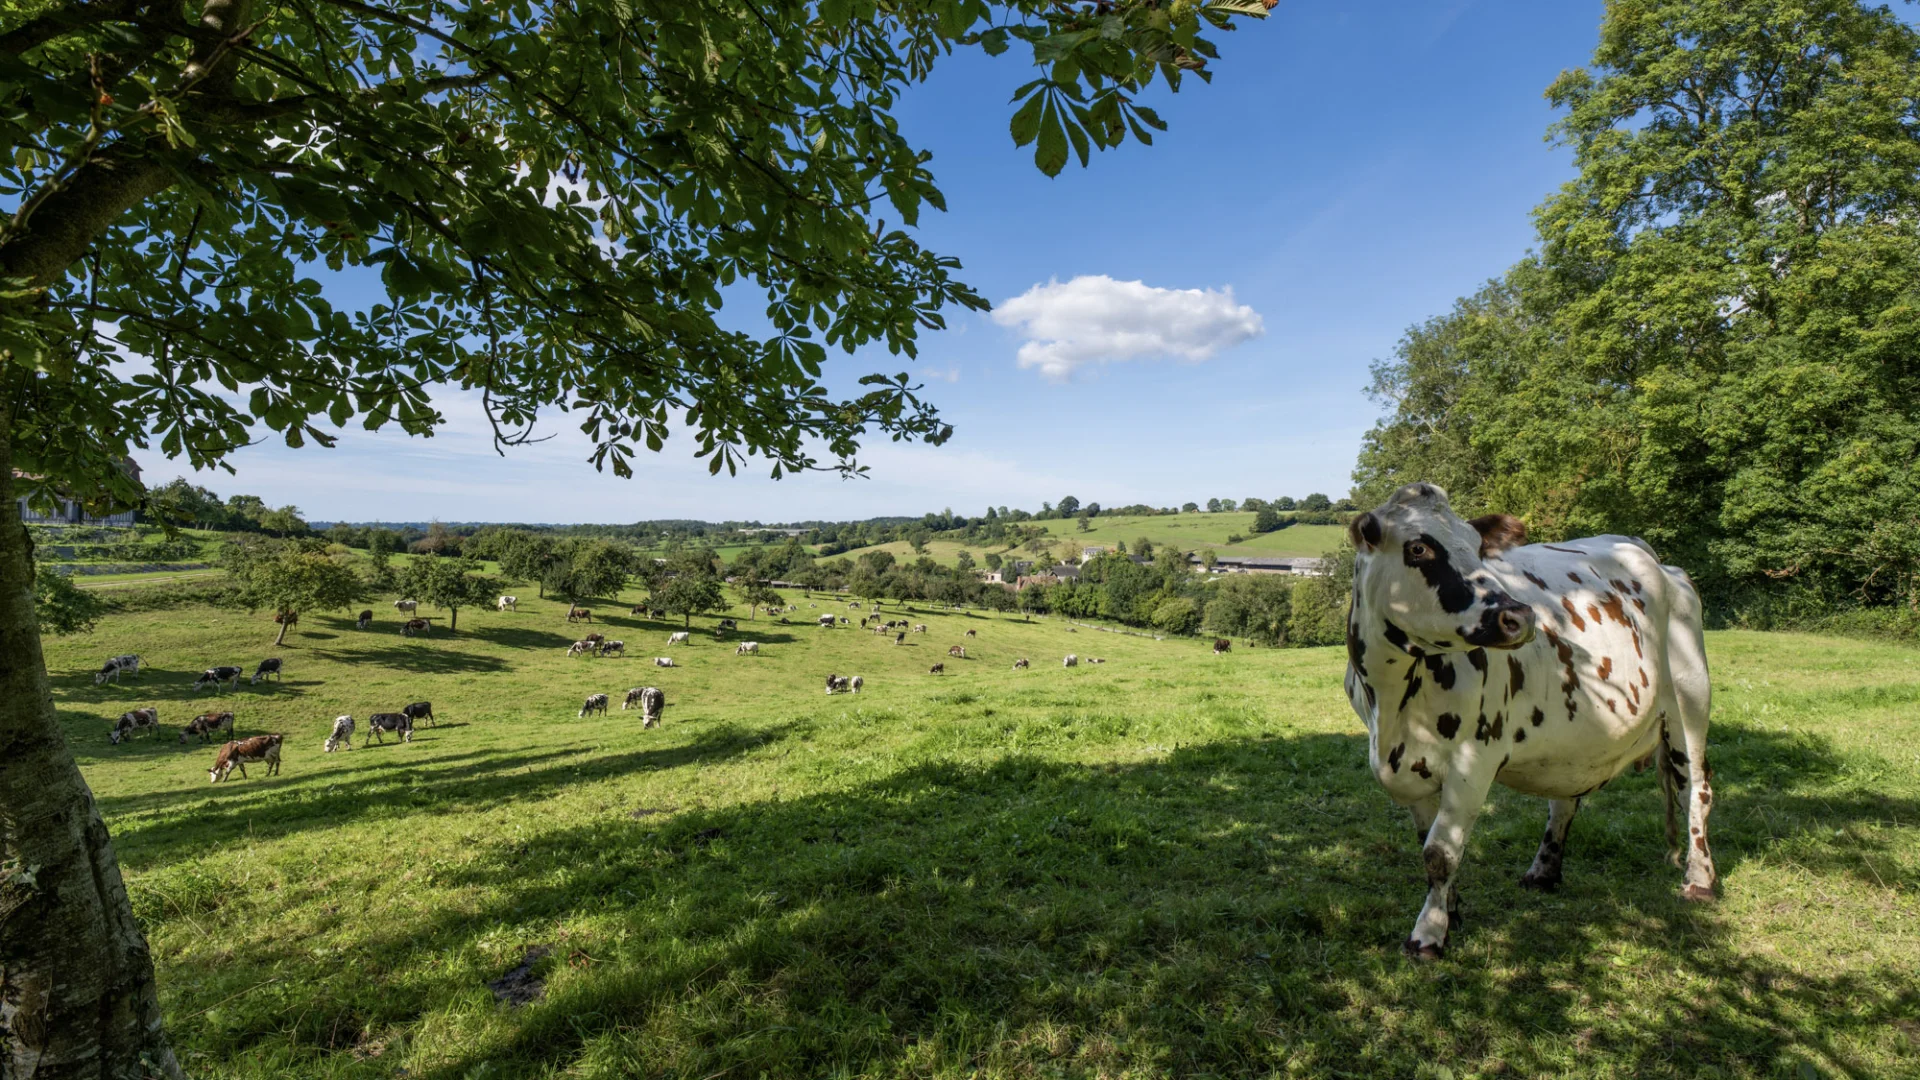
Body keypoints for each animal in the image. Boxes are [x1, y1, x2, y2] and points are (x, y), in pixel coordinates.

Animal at [1344, 480, 1720, 957]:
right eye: (1418, 548)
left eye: (1476, 545)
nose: (1519, 616)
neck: (1392, 705)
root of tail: (1658, 561)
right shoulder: (1408, 766)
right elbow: (1427, 843)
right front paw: (1451, 914)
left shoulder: (1474, 759)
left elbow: (1440, 852)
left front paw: (1427, 934)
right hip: (1579, 738)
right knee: (1565, 800)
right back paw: (1543, 872)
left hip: (1690, 698)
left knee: (1697, 788)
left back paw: (1700, 879)